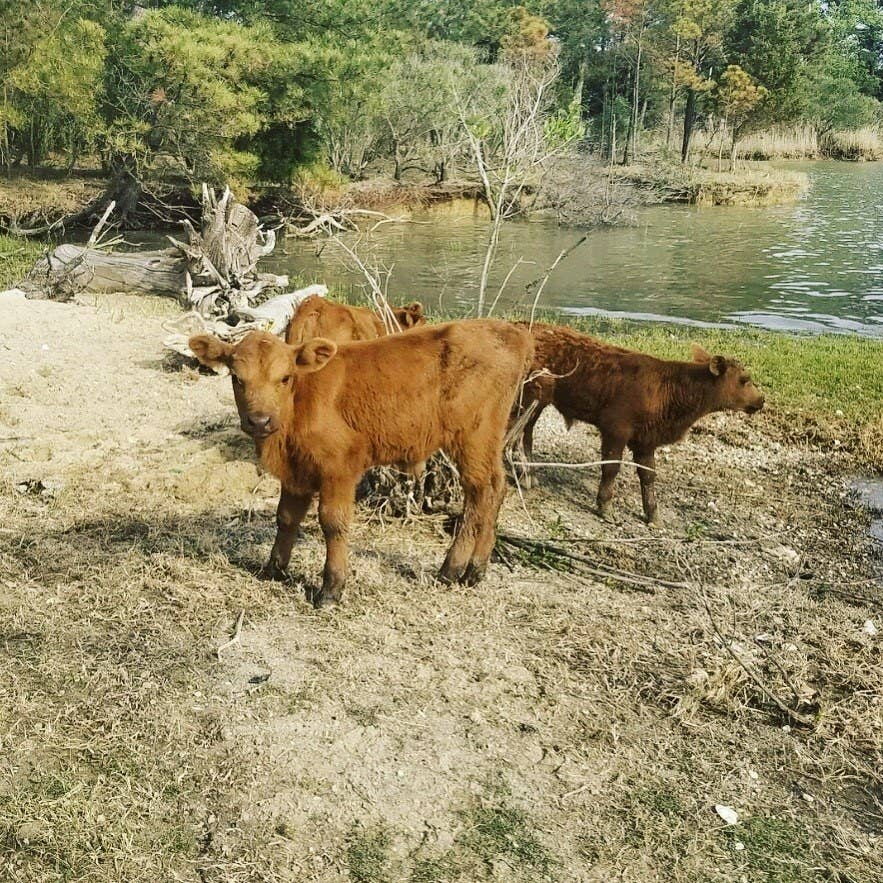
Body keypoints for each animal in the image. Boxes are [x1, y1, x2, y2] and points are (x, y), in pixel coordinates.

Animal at [189, 320, 533, 607]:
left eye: (285, 378)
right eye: (237, 378)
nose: (260, 420)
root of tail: (508, 329)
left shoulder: (338, 467)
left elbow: (333, 522)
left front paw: (331, 589)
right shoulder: (296, 470)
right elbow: (286, 517)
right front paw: (274, 568)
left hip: (473, 438)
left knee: (479, 493)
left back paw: (452, 568)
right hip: (487, 441)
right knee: (497, 488)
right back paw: (476, 569)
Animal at [513, 323, 765, 524]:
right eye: (744, 380)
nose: (761, 400)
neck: (669, 387)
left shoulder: (646, 441)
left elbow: (648, 475)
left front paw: (653, 515)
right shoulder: (615, 430)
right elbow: (611, 468)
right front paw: (605, 507)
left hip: (536, 403)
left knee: (526, 433)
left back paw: (529, 475)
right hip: (530, 398)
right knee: (518, 432)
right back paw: (523, 474)